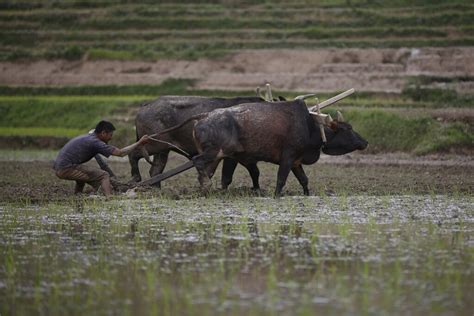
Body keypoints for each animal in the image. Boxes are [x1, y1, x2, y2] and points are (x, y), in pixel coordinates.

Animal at [130, 95, 268, 190]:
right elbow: (228, 177)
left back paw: (156, 189)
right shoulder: (233, 156)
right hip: (155, 145)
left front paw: (257, 189)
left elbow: (254, 172)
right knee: (133, 154)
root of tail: (146, 105)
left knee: (155, 171)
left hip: (163, 151)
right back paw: (136, 178)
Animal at [159, 99, 366, 196]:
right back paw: (207, 187)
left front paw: (308, 194)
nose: (365, 142)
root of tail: (203, 116)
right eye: (347, 129)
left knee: (206, 171)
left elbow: (304, 180)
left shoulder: (296, 161)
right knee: (197, 162)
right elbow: (280, 180)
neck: (311, 126)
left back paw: (206, 190)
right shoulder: (287, 158)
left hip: (216, 156)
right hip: (213, 153)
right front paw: (276, 195)